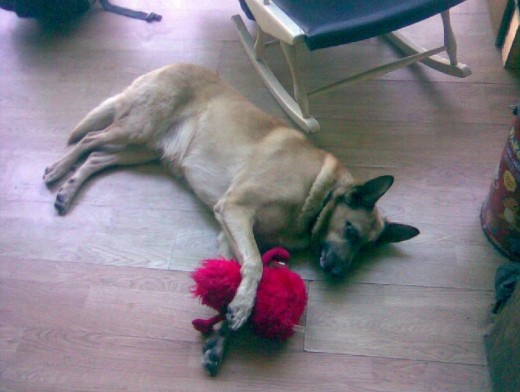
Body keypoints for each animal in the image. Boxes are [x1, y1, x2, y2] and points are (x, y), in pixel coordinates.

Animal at [43, 62, 418, 376]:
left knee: (97, 158)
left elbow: (232, 278)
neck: (318, 192)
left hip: (141, 149)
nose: (339, 273)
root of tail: (170, 65)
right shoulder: (235, 209)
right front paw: (241, 310)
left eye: (366, 250)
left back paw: (68, 190)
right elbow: (256, 266)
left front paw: (222, 334)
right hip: (136, 129)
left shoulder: (230, 233)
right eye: (350, 231)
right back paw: (57, 170)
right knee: (90, 140)